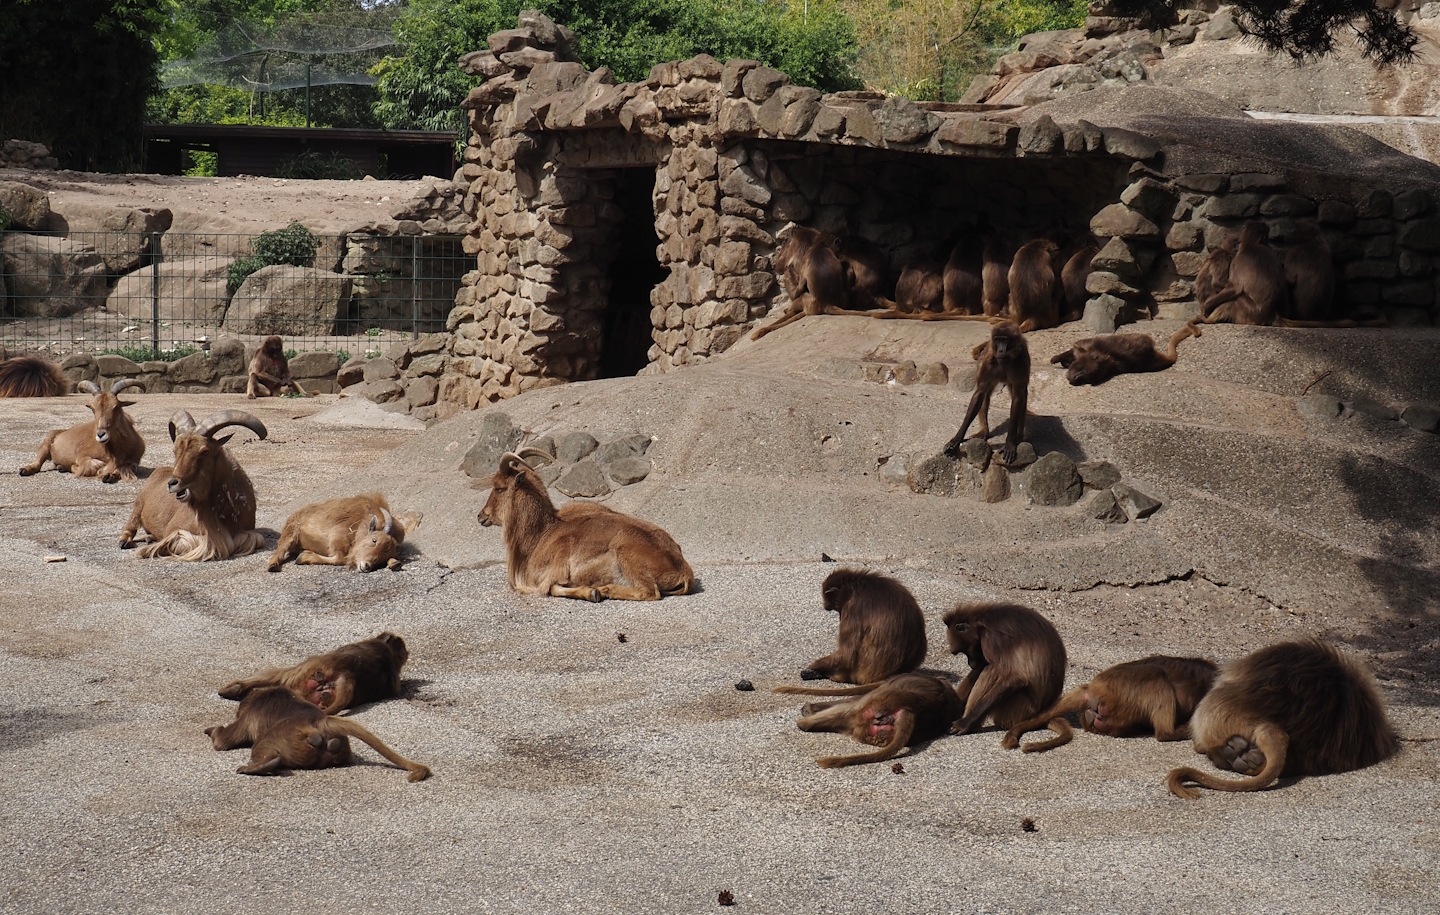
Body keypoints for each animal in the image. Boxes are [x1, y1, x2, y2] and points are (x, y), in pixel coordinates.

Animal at [119, 409, 267, 561]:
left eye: (205, 451)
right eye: (175, 451)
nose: (172, 484)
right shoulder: (176, 530)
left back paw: (149, 538)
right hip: (138, 506)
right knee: (130, 526)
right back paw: (125, 541)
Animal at [267, 494, 421, 572]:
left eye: (385, 555)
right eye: (374, 540)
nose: (367, 566)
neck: (361, 522)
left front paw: (394, 563)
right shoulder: (337, 539)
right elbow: (339, 559)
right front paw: (302, 558)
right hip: (290, 533)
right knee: (280, 549)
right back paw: (272, 565)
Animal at [477, 448, 695, 601]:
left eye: (498, 488)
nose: (481, 515)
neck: (542, 534)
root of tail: (684, 571)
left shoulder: (552, 572)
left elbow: (554, 588)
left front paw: (593, 592)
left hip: (626, 553)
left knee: (650, 592)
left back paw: (606, 589)